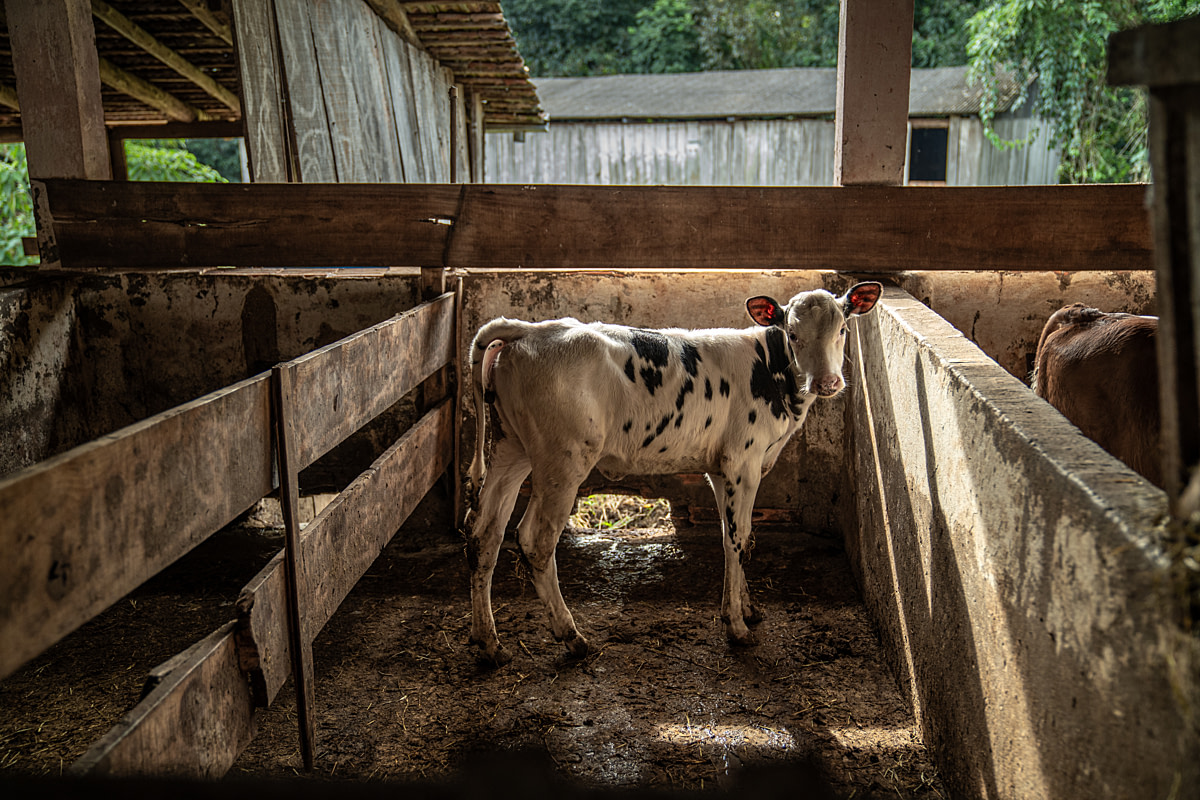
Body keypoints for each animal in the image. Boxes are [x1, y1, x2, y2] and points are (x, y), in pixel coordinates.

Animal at [464, 281, 883, 666]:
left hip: (511, 448)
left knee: (485, 533)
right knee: (535, 540)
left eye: (842, 328)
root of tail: (529, 329)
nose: (827, 383)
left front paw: (746, 609)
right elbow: (739, 539)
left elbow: (734, 537)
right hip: (562, 461)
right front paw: (736, 627)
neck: (769, 371)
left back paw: (490, 643)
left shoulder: (721, 469)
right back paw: (572, 637)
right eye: (792, 333)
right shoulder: (742, 462)